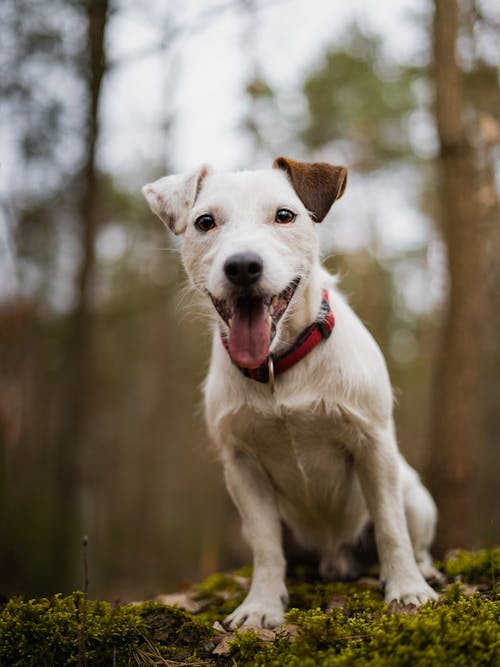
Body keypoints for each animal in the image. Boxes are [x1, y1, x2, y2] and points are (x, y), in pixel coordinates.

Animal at [143, 158, 440, 632]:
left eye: (284, 215)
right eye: (205, 222)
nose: (243, 266)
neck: (278, 365)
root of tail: (334, 559)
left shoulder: (373, 446)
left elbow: (392, 528)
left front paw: (407, 589)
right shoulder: (242, 467)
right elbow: (266, 548)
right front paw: (261, 605)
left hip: (416, 496)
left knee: (413, 535)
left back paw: (423, 570)